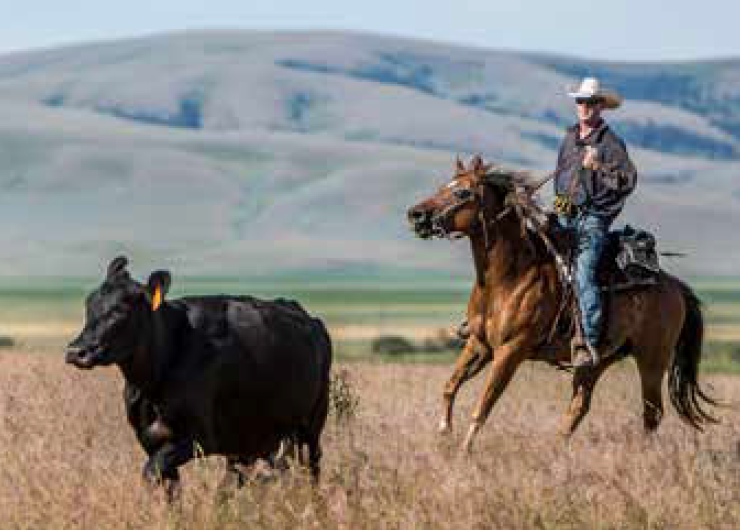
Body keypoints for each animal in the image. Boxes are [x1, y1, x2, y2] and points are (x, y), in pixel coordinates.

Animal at [66, 255, 332, 486]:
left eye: (120, 309)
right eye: (89, 304)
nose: (76, 351)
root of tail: (309, 317)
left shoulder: (198, 438)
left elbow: (151, 472)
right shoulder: (150, 439)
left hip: (311, 425)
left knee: (311, 468)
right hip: (253, 434)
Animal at [408, 155, 712, 452]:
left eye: (462, 192)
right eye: (442, 187)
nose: (415, 214)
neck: (509, 278)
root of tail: (673, 285)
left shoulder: (511, 350)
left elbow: (485, 404)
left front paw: (464, 451)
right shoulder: (479, 343)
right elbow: (450, 385)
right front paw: (444, 433)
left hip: (652, 359)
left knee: (652, 412)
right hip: (596, 361)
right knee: (580, 406)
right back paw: (557, 449)